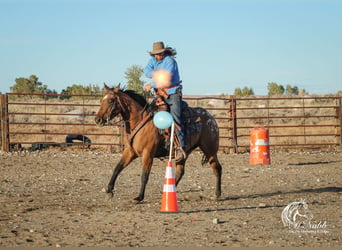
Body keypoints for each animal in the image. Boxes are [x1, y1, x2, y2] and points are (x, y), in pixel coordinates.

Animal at [94, 84, 222, 203]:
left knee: (217, 168)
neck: (140, 121)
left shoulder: (148, 154)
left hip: (209, 149)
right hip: (185, 153)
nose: (98, 120)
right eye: (101, 100)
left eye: (111, 100)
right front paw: (109, 191)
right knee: (180, 171)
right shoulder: (130, 152)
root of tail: (211, 118)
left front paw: (139, 197)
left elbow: (144, 176)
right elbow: (117, 168)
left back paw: (217, 194)